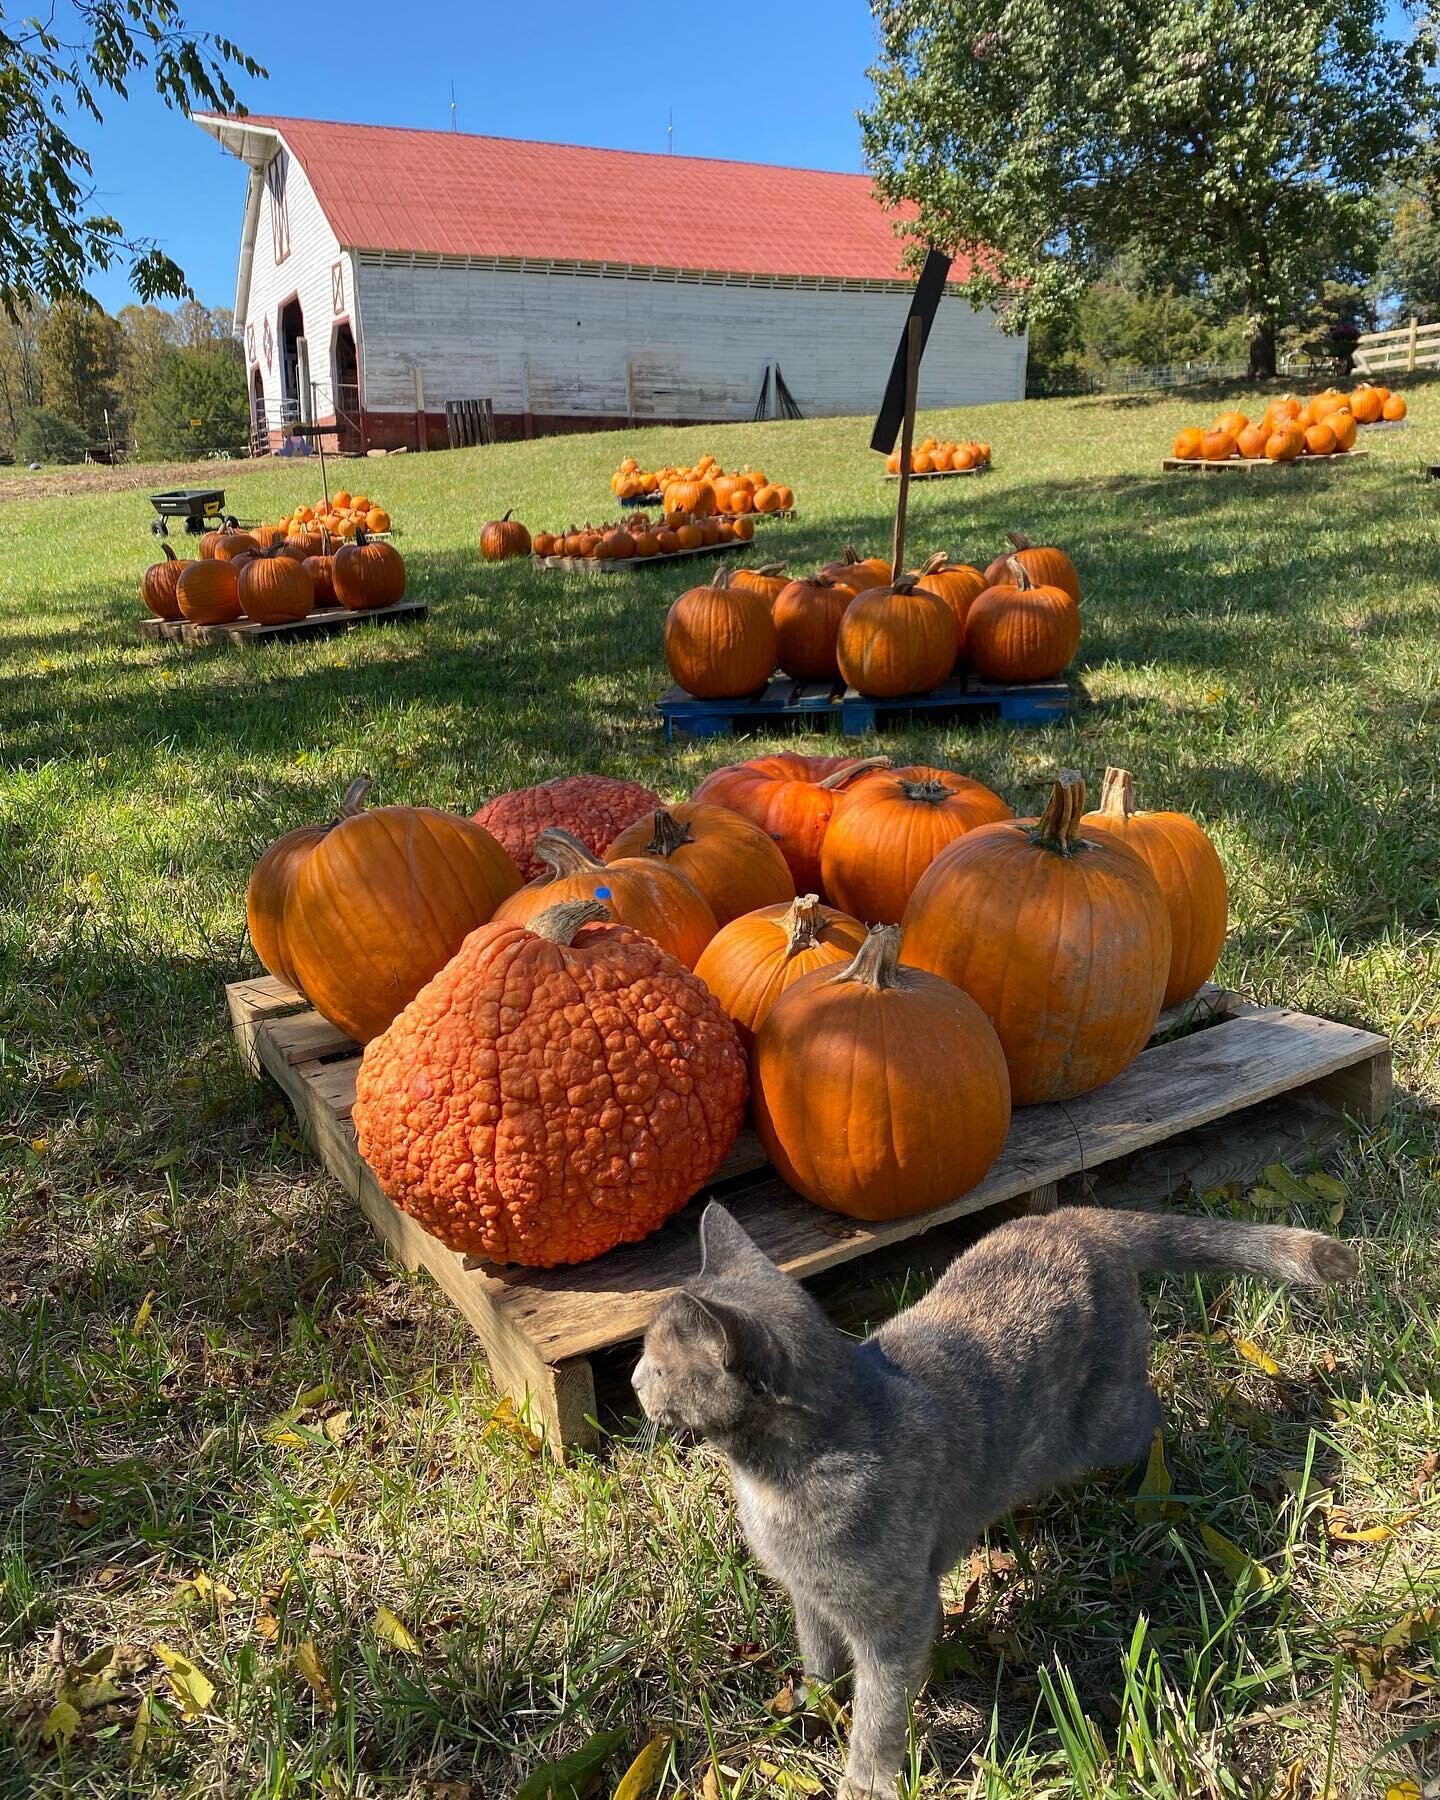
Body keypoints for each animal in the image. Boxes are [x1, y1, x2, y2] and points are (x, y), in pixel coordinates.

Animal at [633, 1195, 1360, 1800]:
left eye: (661, 1367)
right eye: (645, 1358)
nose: (636, 1380)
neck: (777, 1480)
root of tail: (1080, 1218)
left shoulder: (898, 1616)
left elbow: (879, 1712)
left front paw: (863, 1780)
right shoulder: (808, 1595)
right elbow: (821, 1660)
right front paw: (808, 1708)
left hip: (1104, 1424)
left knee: (1148, 1418)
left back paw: (1149, 1488)